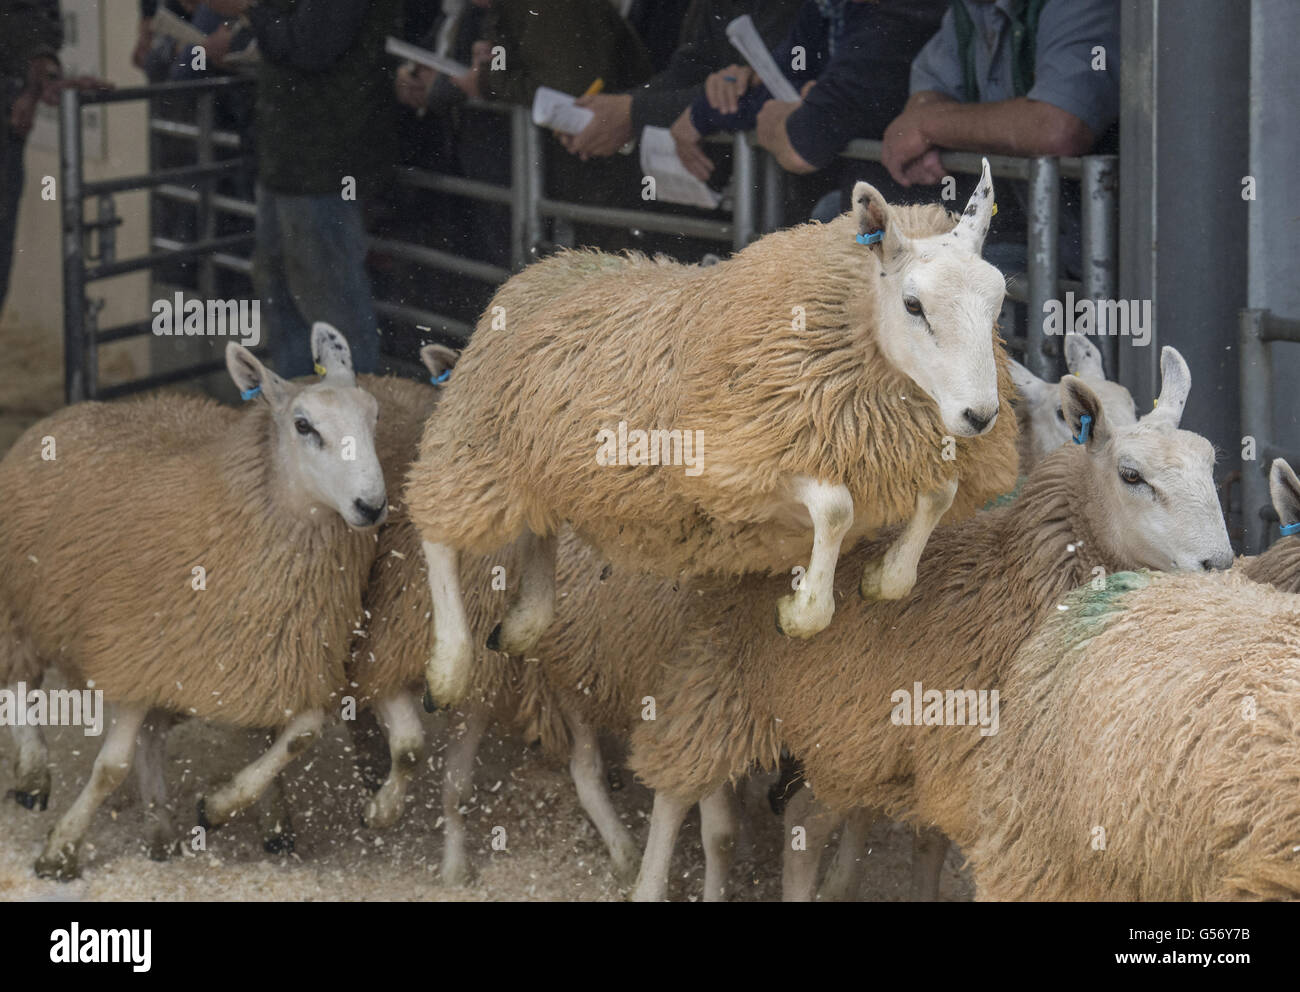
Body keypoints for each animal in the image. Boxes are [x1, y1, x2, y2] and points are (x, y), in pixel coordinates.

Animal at [0, 324, 387, 880]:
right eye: (303, 425)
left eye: (375, 416)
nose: (371, 506)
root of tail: (72, 410)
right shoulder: (134, 654)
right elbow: (109, 768)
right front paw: (60, 850)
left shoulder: (288, 661)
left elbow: (300, 734)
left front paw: (224, 804)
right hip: (20, 607)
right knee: (18, 683)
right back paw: (33, 773)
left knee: (152, 739)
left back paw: (166, 830)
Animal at [406, 160, 1020, 708]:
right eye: (913, 305)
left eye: (998, 305)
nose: (980, 416)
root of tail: (548, 266)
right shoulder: (740, 464)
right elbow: (837, 509)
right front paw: (800, 611)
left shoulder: (902, 451)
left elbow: (938, 495)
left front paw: (882, 578)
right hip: (473, 450)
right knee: (438, 535)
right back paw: (449, 667)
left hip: (546, 469)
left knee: (539, 527)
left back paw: (523, 621)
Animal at [626, 347, 1235, 901]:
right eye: (1131, 475)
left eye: (1211, 465)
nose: (1220, 563)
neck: (1018, 582)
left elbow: (928, 847)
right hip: (717, 681)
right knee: (674, 790)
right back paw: (646, 883)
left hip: (843, 733)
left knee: (803, 822)